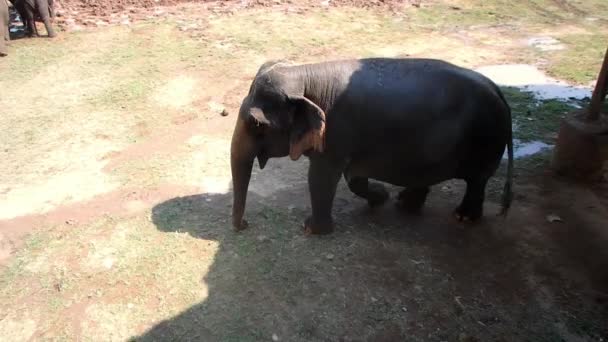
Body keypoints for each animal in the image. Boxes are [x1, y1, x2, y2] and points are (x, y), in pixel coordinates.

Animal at [230, 58, 516, 235]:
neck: (305, 74)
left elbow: (322, 177)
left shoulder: (337, 132)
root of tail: (497, 89)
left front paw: (311, 229)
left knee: (477, 181)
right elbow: (353, 177)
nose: (245, 224)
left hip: (485, 140)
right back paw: (404, 204)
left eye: (256, 124)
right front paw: (381, 196)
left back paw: (463, 217)